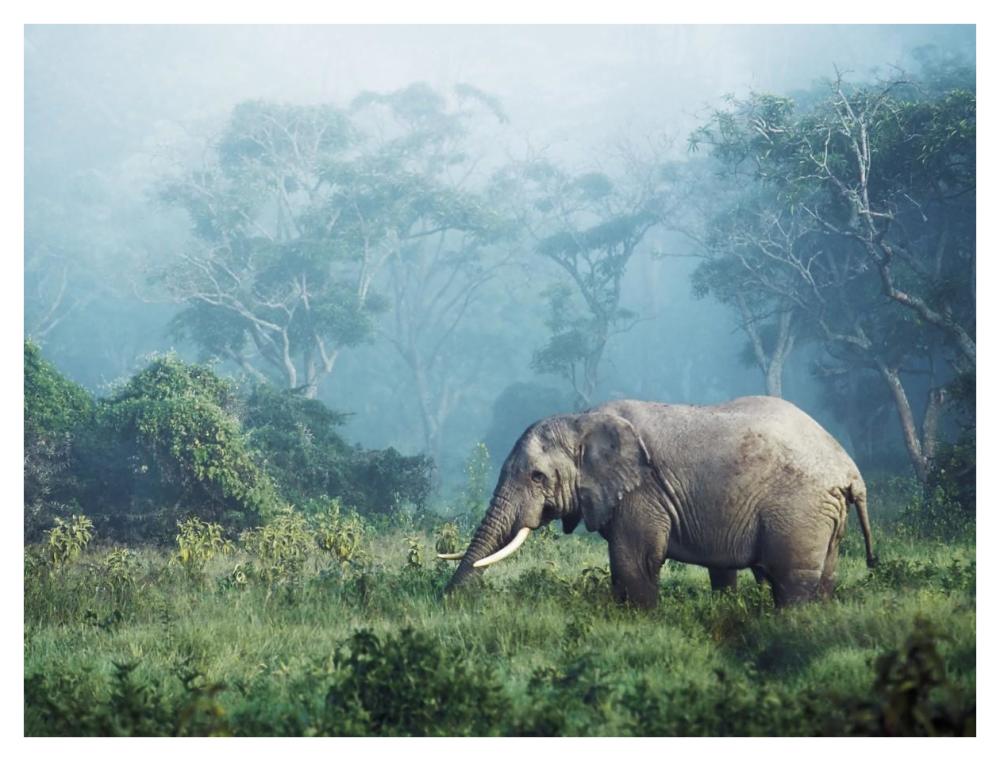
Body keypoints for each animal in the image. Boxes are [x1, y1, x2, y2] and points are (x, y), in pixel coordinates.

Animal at [441, 396, 877, 608]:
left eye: (537, 477)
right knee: (822, 579)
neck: (582, 419)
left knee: (790, 581)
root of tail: (850, 470)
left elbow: (635, 562)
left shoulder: (643, 492)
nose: (446, 600)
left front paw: (640, 623)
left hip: (800, 508)